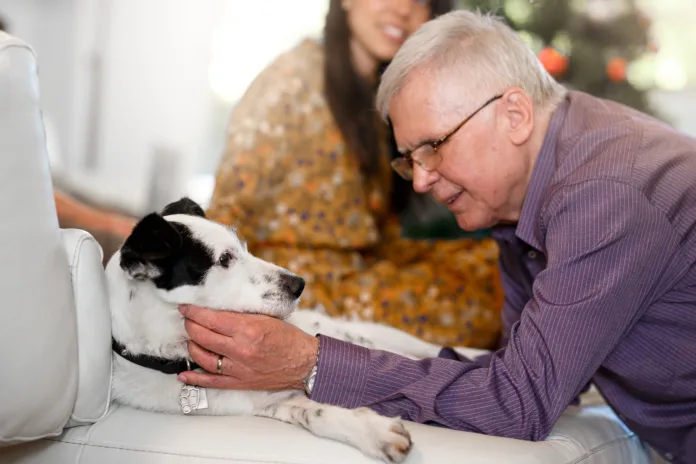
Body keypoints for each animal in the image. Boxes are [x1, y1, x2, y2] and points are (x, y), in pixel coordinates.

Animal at [106, 198, 484, 462]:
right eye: (225, 259)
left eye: (244, 247)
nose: (299, 284)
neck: (178, 354)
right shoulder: (268, 400)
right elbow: (315, 413)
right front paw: (371, 431)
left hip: (371, 335)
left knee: (426, 353)